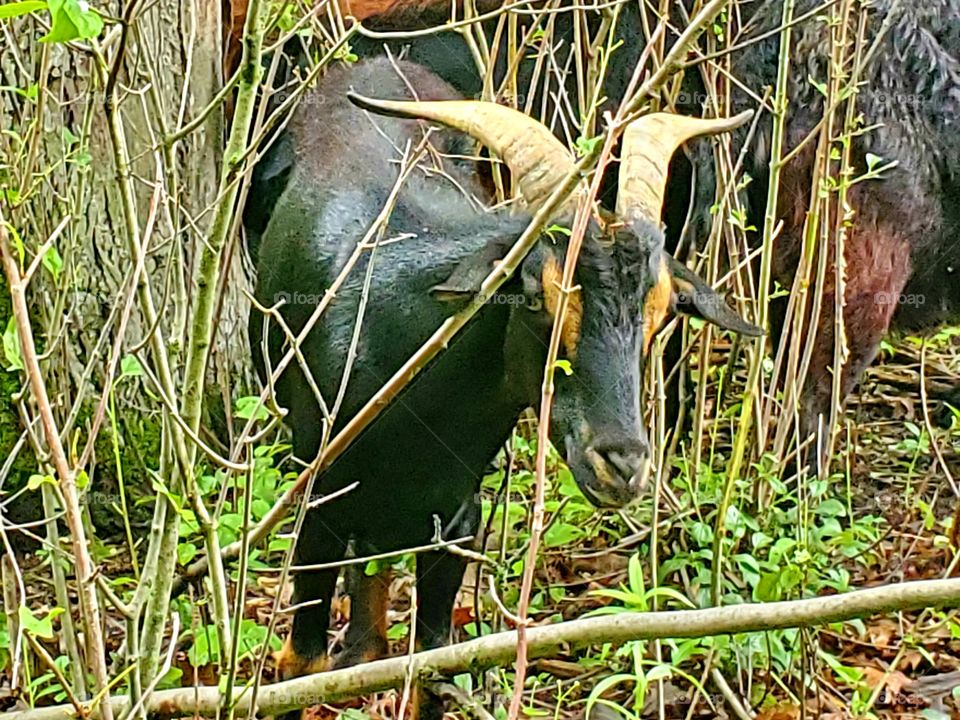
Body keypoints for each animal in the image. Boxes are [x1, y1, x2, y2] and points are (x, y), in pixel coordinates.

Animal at [246, 57, 759, 717]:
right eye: (536, 297)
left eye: (663, 309)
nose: (622, 464)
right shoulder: (316, 507)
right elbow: (300, 668)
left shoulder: (457, 523)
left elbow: (431, 671)